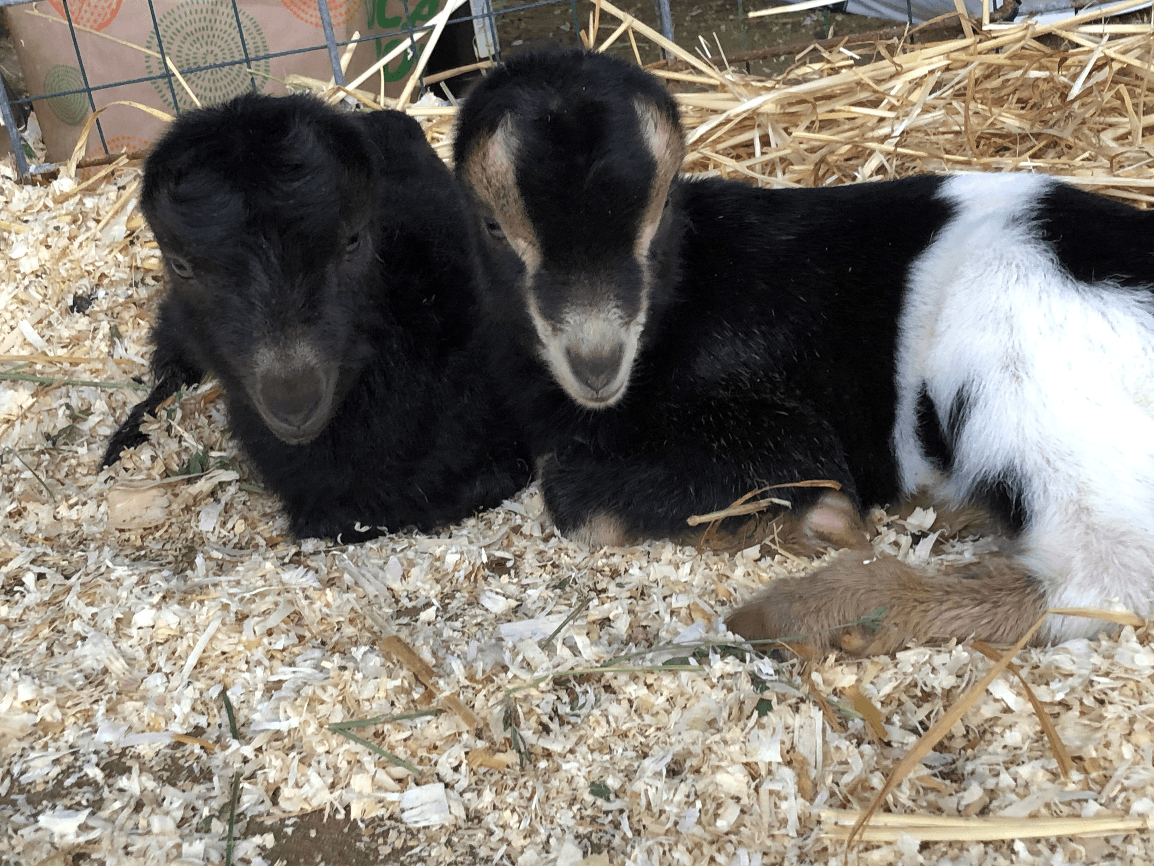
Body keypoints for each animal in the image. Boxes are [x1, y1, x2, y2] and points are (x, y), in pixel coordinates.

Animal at [454, 48, 1154, 653]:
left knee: (1104, 578)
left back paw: (807, 612)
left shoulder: (769, 420)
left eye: (662, 210)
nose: (596, 364)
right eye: (491, 226)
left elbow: (578, 503)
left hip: (1023, 366)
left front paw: (822, 520)